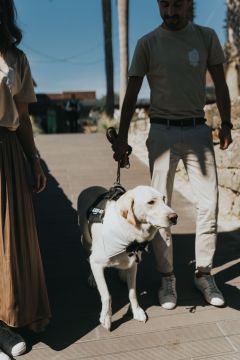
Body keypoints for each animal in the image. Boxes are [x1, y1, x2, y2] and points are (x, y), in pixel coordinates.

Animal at [78, 187, 177, 330]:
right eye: (151, 202)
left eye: (164, 199)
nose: (174, 217)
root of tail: (91, 187)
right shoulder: (97, 263)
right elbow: (106, 294)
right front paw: (106, 317)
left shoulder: (134, 263)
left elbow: (132, 292)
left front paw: (137, 311)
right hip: (86, 241)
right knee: (89, 257)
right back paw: (92, 277)